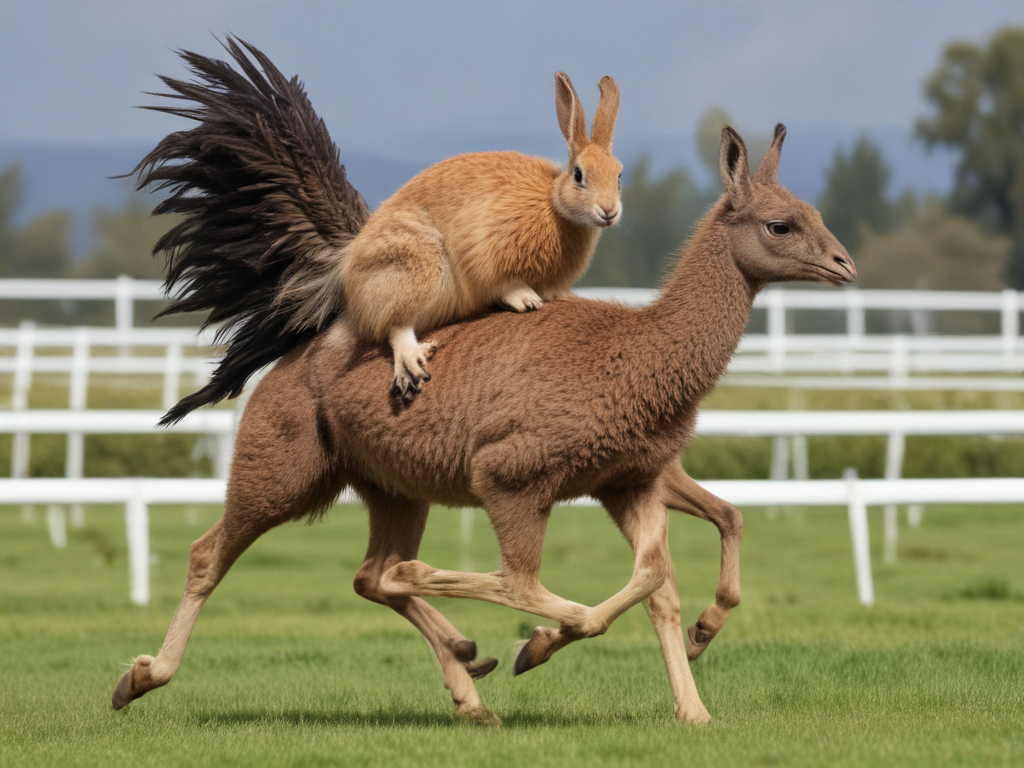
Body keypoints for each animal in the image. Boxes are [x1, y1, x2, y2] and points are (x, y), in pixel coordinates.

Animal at [336, 72, 623, 402]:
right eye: (578, 175)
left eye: (619, 175)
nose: (609, 211)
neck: (553, 203)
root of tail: (351, 286)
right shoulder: (484, 250)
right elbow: (502, 284)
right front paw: (527, 300)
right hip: (416, 265)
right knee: (396, 326)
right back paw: (412, 364)